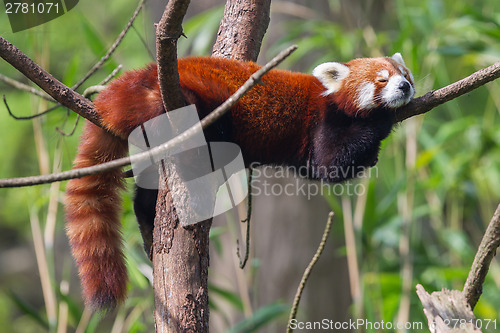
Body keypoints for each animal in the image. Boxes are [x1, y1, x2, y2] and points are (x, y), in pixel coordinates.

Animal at [64, 53, 416, 310]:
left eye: (406, 74)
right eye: (382, 79)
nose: (405, 87)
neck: (329, 99)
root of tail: (143, 77)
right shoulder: (321, 123)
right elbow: (331, 164)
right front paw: (381, 119)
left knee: (147, 192)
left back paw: (149, 227)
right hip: (188, 106)